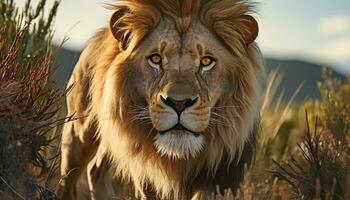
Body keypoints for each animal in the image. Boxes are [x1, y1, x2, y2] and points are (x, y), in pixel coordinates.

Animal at [58, 0, 262, 198]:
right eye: (155, 59)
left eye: (206, 61)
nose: (179, 103)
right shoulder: (145, 169)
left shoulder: (219, 174)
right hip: (79, 132)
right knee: (67, 179)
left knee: (95, 169)